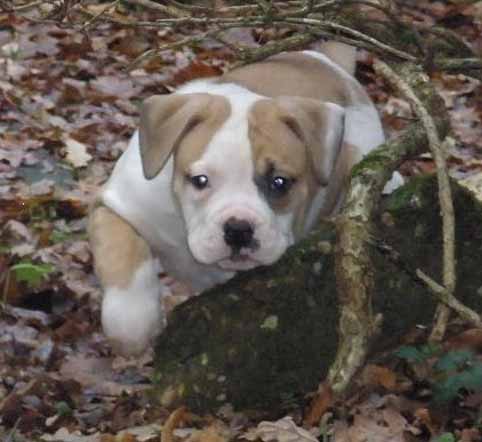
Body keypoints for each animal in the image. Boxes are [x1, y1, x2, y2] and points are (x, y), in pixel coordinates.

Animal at [89, 42, 400, 356]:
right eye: (200, 181)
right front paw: (134, 323)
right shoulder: (115, 206)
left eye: (279, 183)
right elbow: (122, 255)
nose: (238, 229)